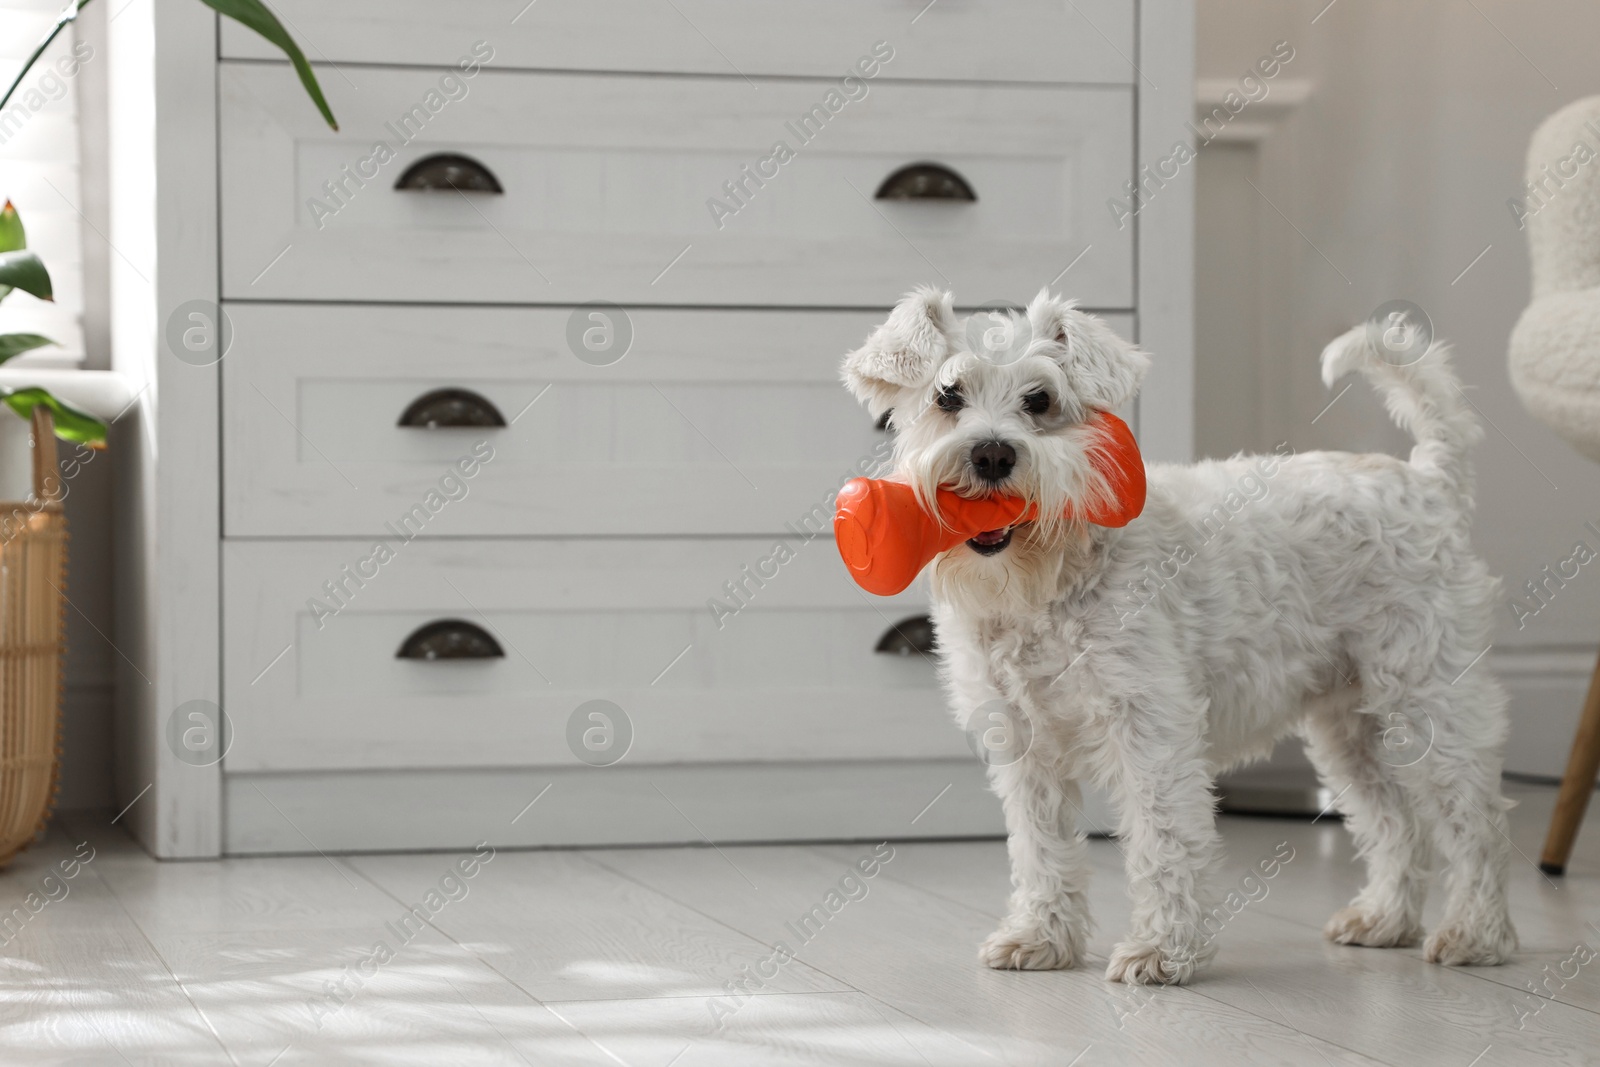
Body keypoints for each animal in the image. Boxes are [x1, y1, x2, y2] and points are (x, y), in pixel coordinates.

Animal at [844, 289, 1516, 985]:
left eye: (1040, 399)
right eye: (948, 396)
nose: (993, 455)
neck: (1048, 579)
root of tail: (1430, 480)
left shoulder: (1151, 730)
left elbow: (1164, 841)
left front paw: (1163, 952)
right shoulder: (1023, 743)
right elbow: (1041, 849)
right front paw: (1041, 939)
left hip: (1431, 702)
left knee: (1478, 823)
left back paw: (1476, 934)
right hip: (1350, 730)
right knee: (1397, 822)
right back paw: (1384, 921)